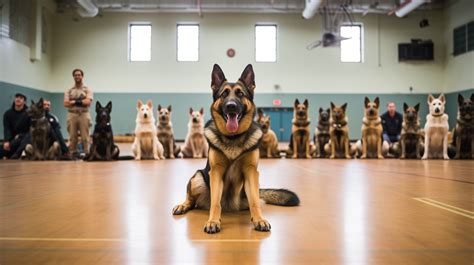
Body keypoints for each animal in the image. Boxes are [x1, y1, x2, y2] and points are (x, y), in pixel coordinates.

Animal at [172, 64, 298, 233]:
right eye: (224, 94)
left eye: (240, 94)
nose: (231, 106)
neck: (233, 138)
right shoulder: (216, 172)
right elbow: (215, 203)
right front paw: (213, 221)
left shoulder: (251, 172)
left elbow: (255, 202)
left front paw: (259, 220)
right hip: (197, 177)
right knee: (192, 200)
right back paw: (183, 205)